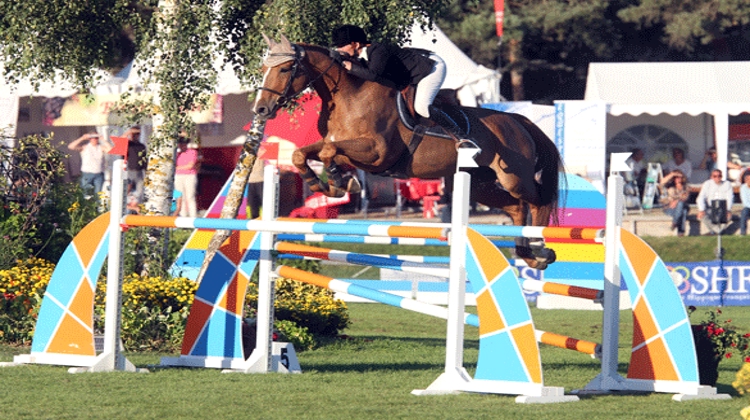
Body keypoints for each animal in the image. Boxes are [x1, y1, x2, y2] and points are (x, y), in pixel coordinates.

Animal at [253, 34, 564, 268]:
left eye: (284, 69)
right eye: (262, 70)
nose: (261, 110)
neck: (348, 97)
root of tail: (518, 121)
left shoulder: (376, 152)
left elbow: (329, 152)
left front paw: (339, 180)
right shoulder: (346, 149)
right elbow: (305, 154)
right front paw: (328, 184)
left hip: (514, 177)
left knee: (538, 202)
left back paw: (540, 249)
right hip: (479, 184)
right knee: (516, 206)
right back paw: (527, 254)